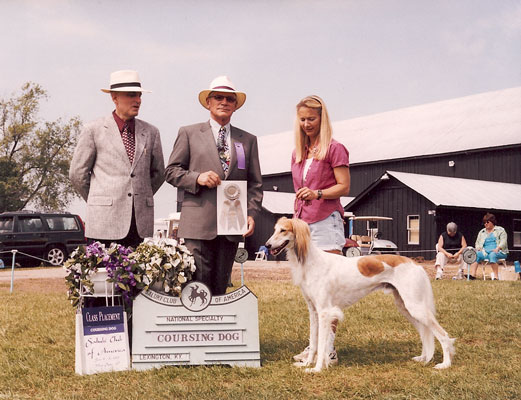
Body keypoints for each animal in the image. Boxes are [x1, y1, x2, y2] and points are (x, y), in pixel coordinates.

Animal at [266, 217, 452, 374]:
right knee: (424, 332)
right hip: (405, 307)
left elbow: (322, 343)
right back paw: (423, 357)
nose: (267, 245)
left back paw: (445, 364)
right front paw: (307, 363)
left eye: (283, 230)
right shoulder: (313, 311)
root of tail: (414, 263)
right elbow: (313, 342)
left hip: (415, 306)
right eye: (274, 229)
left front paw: (317, 368)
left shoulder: (325, 312)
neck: (312, 261)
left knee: (443, 335)